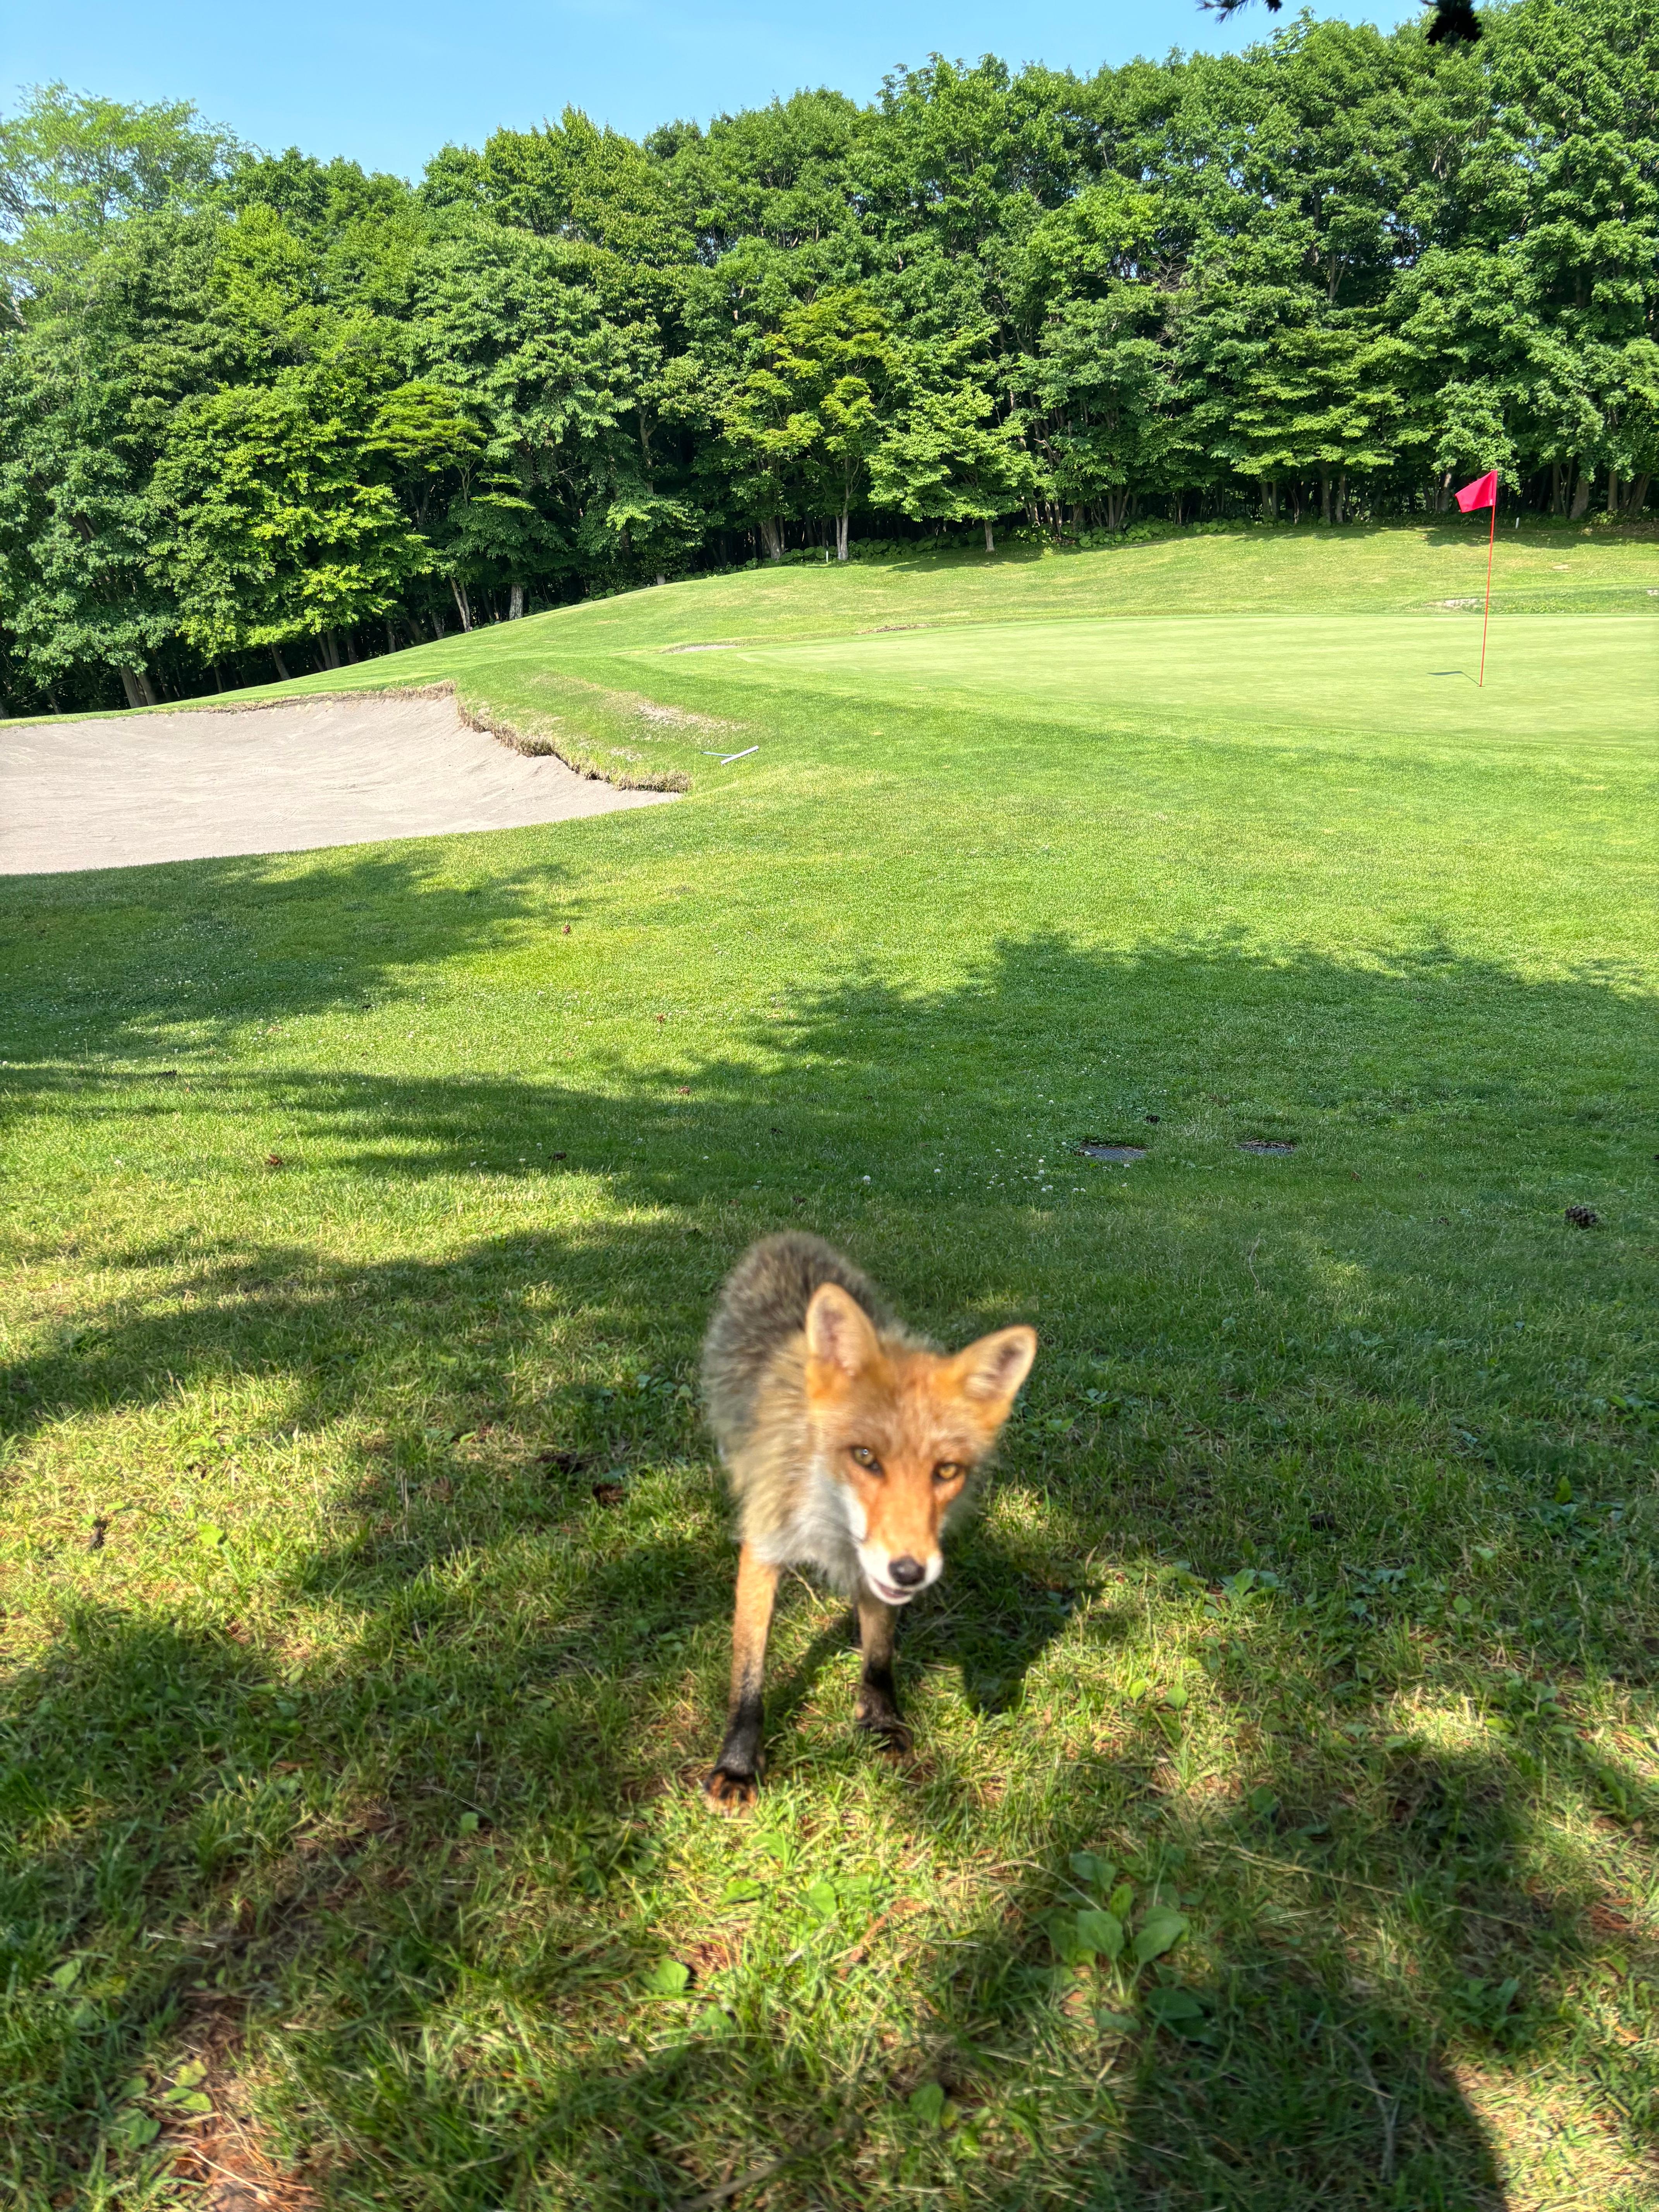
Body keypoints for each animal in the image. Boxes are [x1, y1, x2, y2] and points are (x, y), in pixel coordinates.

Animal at [699, 1232, 1037, 1805]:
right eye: (864, 1458)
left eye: (947, 1471)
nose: (911, 1572)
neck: (828, 1526)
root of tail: (788, 1237)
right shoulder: (765, 1545)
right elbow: (748, 1670)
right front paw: (739, 1764)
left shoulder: (876, 1571)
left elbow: (878, 1653)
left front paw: (879, 1721)